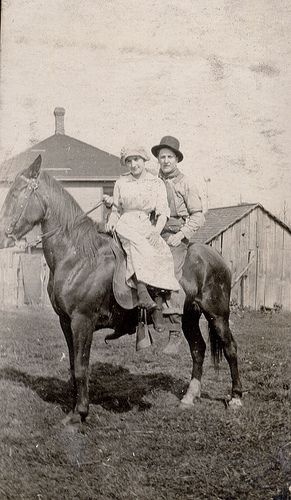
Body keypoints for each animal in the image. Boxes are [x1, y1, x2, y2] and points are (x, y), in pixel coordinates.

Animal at [0, 156, 243, 422]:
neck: (79, 256)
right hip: (190, 316)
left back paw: (236, 397)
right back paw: (189, 397)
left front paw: (79, 414)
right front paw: (74, 411)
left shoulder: (82, 321)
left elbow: (82, 368)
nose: (3, 236)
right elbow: (74, 366)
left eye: (16, 192)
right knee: (198, 349)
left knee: (230, 348)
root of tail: (216, 257)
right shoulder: (66, 322)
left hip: (217, 314)